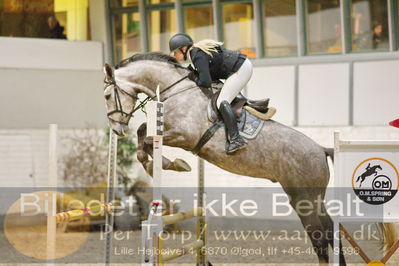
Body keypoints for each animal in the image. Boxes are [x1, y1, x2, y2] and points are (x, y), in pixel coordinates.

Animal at [103, 52, 396, 264]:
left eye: (107, 95)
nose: (116, 129)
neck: (176, 90)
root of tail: (321, 149)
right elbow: (143, 132)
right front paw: (157, 161)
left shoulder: (183, 135)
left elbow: (147, 137)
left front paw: (169, 164)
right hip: (313, 199)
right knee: (330, 237)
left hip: (303, 200)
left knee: (321, 240)